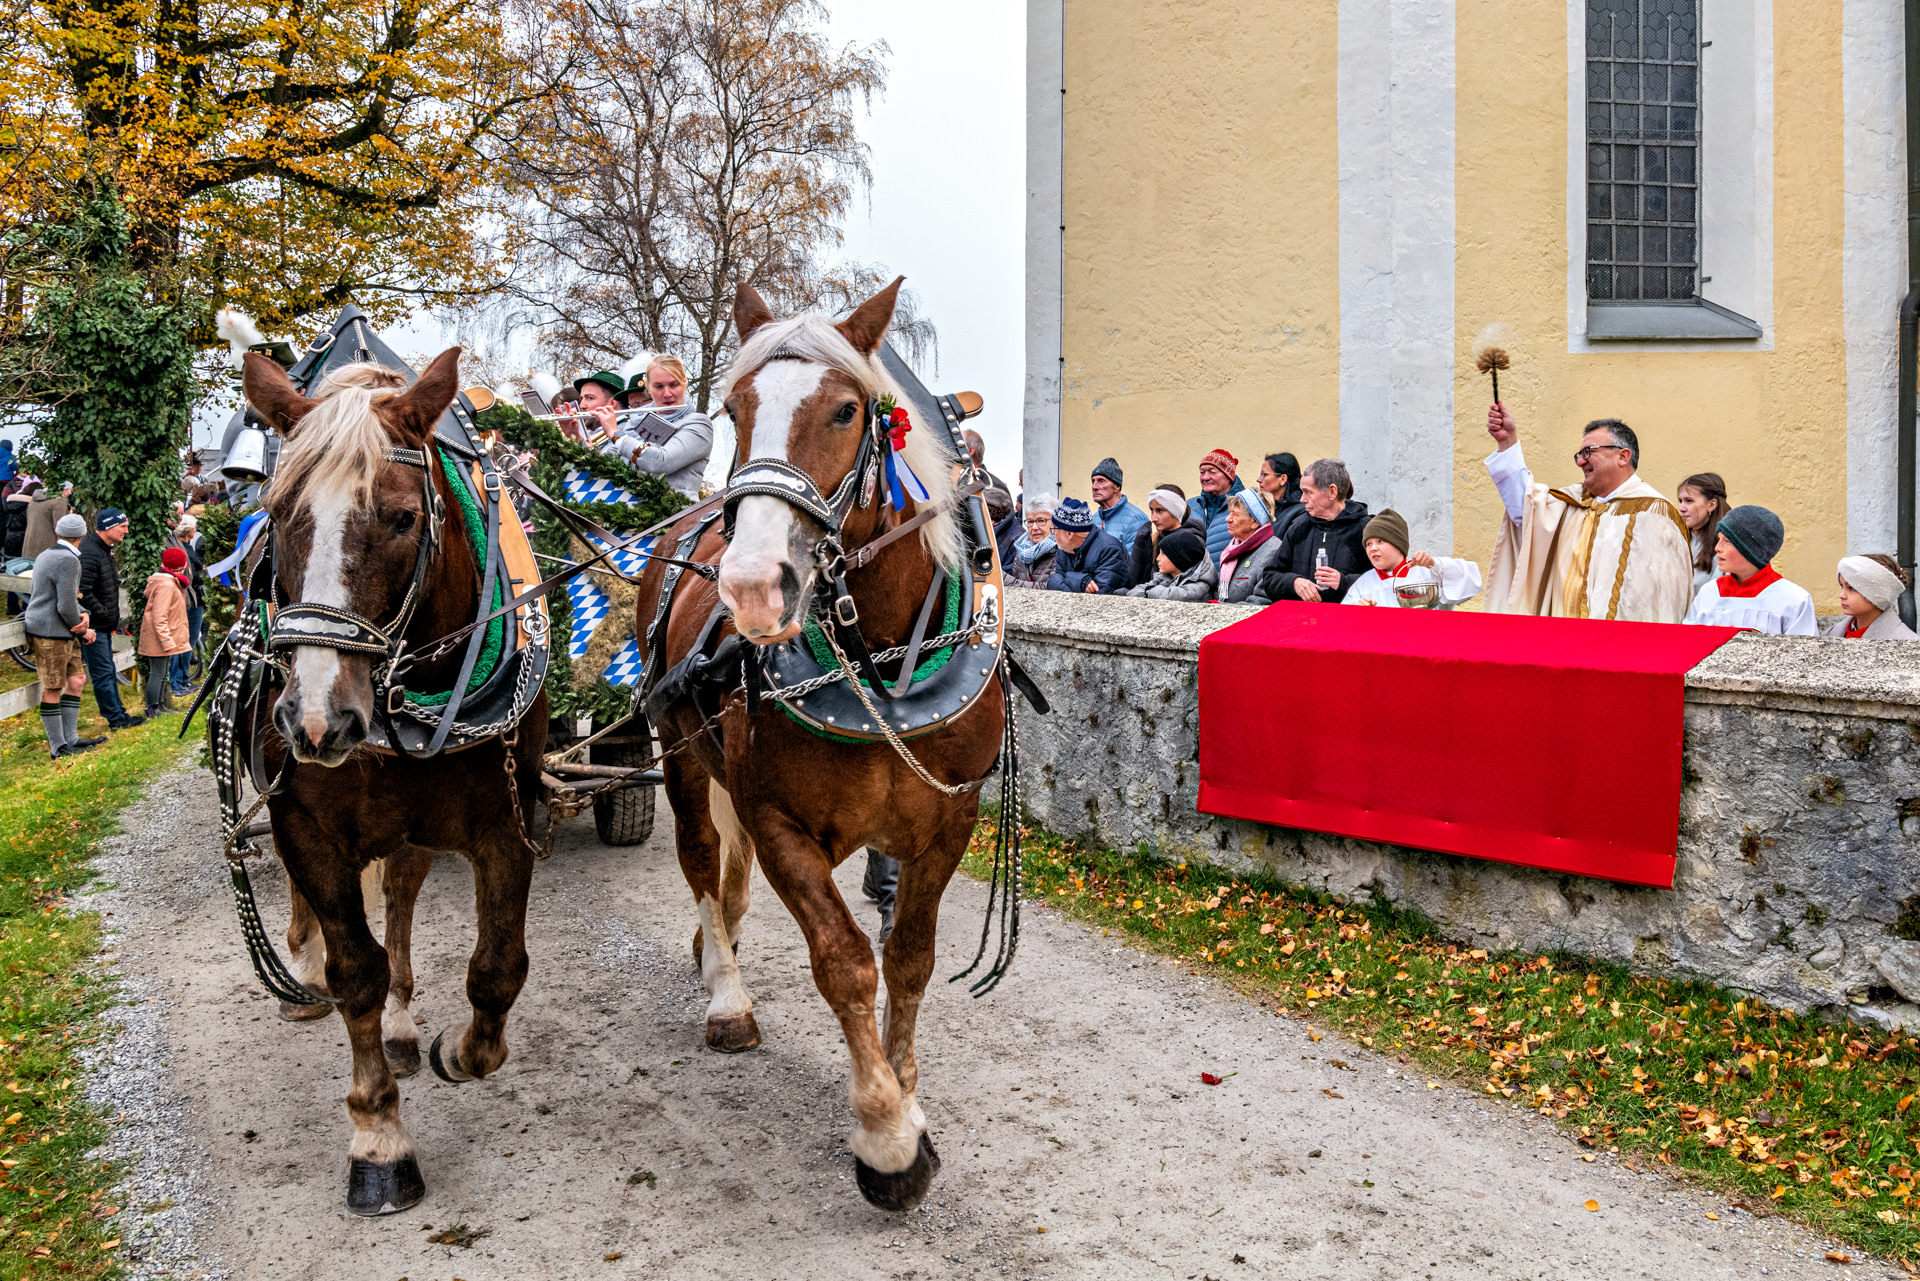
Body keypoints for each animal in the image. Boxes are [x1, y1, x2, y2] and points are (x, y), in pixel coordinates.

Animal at [233, 348, 548, 1216]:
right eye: (276, 512)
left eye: (404, 518)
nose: (315, 716)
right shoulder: (304, 825)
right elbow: (357, 971)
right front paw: (378, 1138)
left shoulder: (507, 817)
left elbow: (497, 966)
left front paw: (457, 1051)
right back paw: (302, 973)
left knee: (402, 896)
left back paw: (405, 1025)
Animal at [634, 278, 1007, 1211]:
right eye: (733, 409)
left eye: (844, 410)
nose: (752, 586)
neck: (878, 667)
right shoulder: (777, 822)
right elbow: (842, 960)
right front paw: (886, 1137)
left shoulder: (948, 819)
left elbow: (909, 957)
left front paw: (906, 1090)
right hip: (679, 747)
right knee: (701, 858)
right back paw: (725, 991)